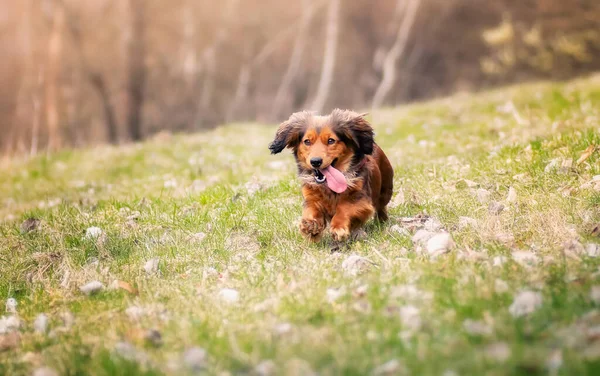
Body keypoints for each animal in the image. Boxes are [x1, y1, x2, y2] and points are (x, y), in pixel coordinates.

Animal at [268, 108, 394, 242]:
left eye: (331, 140)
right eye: (307, 141)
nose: (315, 161)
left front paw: (338, 227)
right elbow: (311, 208)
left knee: (381, 207)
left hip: (385, 191)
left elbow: (344, 207)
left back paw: (381, 221)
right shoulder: (310, 196)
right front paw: (310, 225)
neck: (328, 186)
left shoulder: (362, 200)